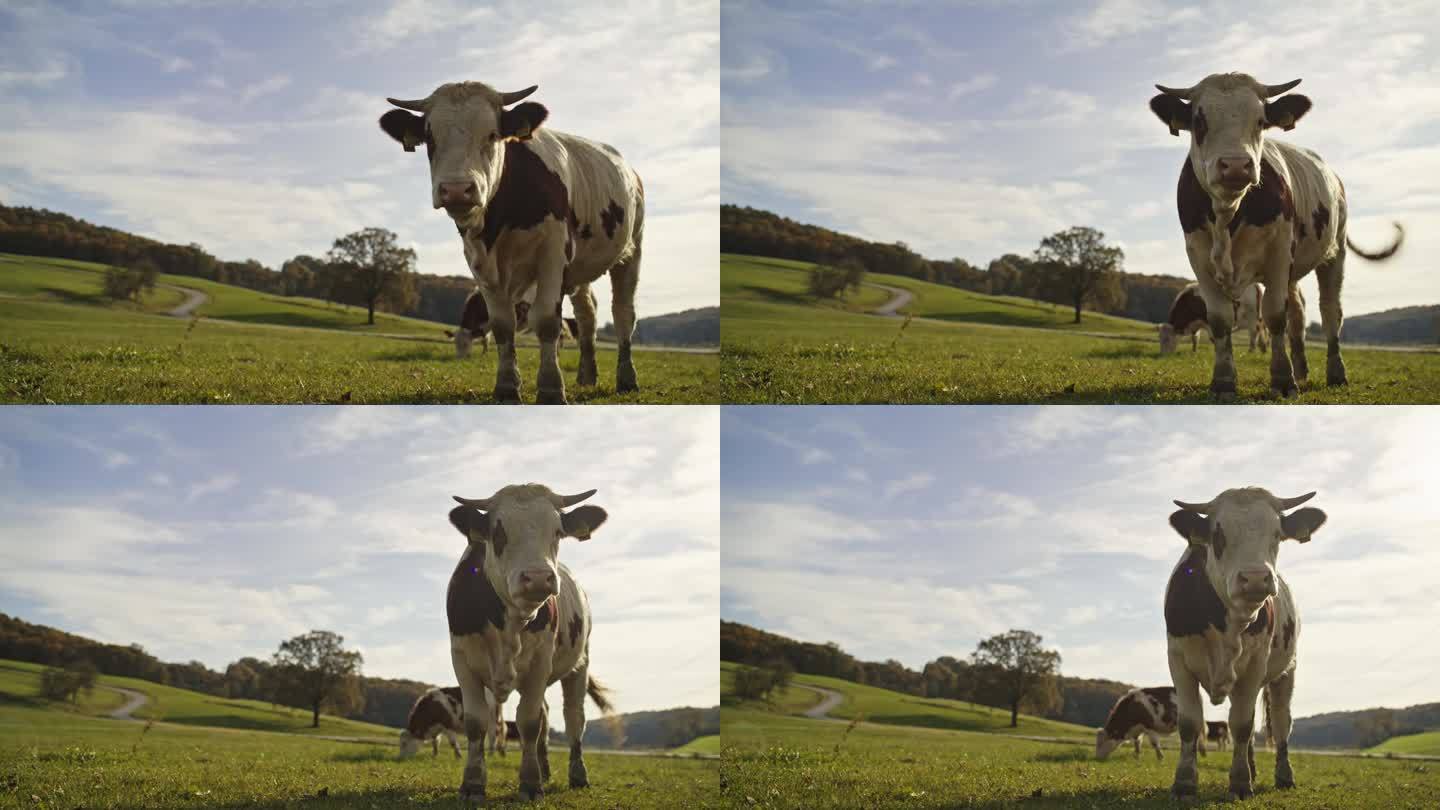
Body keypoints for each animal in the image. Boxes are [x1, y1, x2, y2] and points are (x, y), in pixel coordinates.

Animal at [443, 481, 613, 795]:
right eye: (498, 532)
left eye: (557, 531)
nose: (537, 577)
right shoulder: (461, 660)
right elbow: (476, 722)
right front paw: (472, 782)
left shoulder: (540, 662)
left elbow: (530, 722)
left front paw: (530, 782)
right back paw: (545, 769)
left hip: (580, 662)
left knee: (574, 717)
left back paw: (577, 774)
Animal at [1146, 71, 1405, 397]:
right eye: (1198, 121)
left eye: (1260, 121)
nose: (1235, 165)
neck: (1227, 215)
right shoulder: (1198, 257)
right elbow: (1220, 320)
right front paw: (1223, 381)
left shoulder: (1279, 254)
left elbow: (1274, 316)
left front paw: (1282, 379)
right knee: (1298, 314)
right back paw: (1302, 369)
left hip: (1334, 252)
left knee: (1330, 311)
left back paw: (1335, 373)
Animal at [1157, 484, 1324, 795]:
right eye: (1217, 535)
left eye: (1277, 533)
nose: (1256, 578)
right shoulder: (1178, 659)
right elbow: (1190, 722)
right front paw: (1184, 781)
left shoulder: (1256, 664)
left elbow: (1243, 725)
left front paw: (1240, 782)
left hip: (1286, 670)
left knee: (1280, 722)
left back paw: (1284, 776)